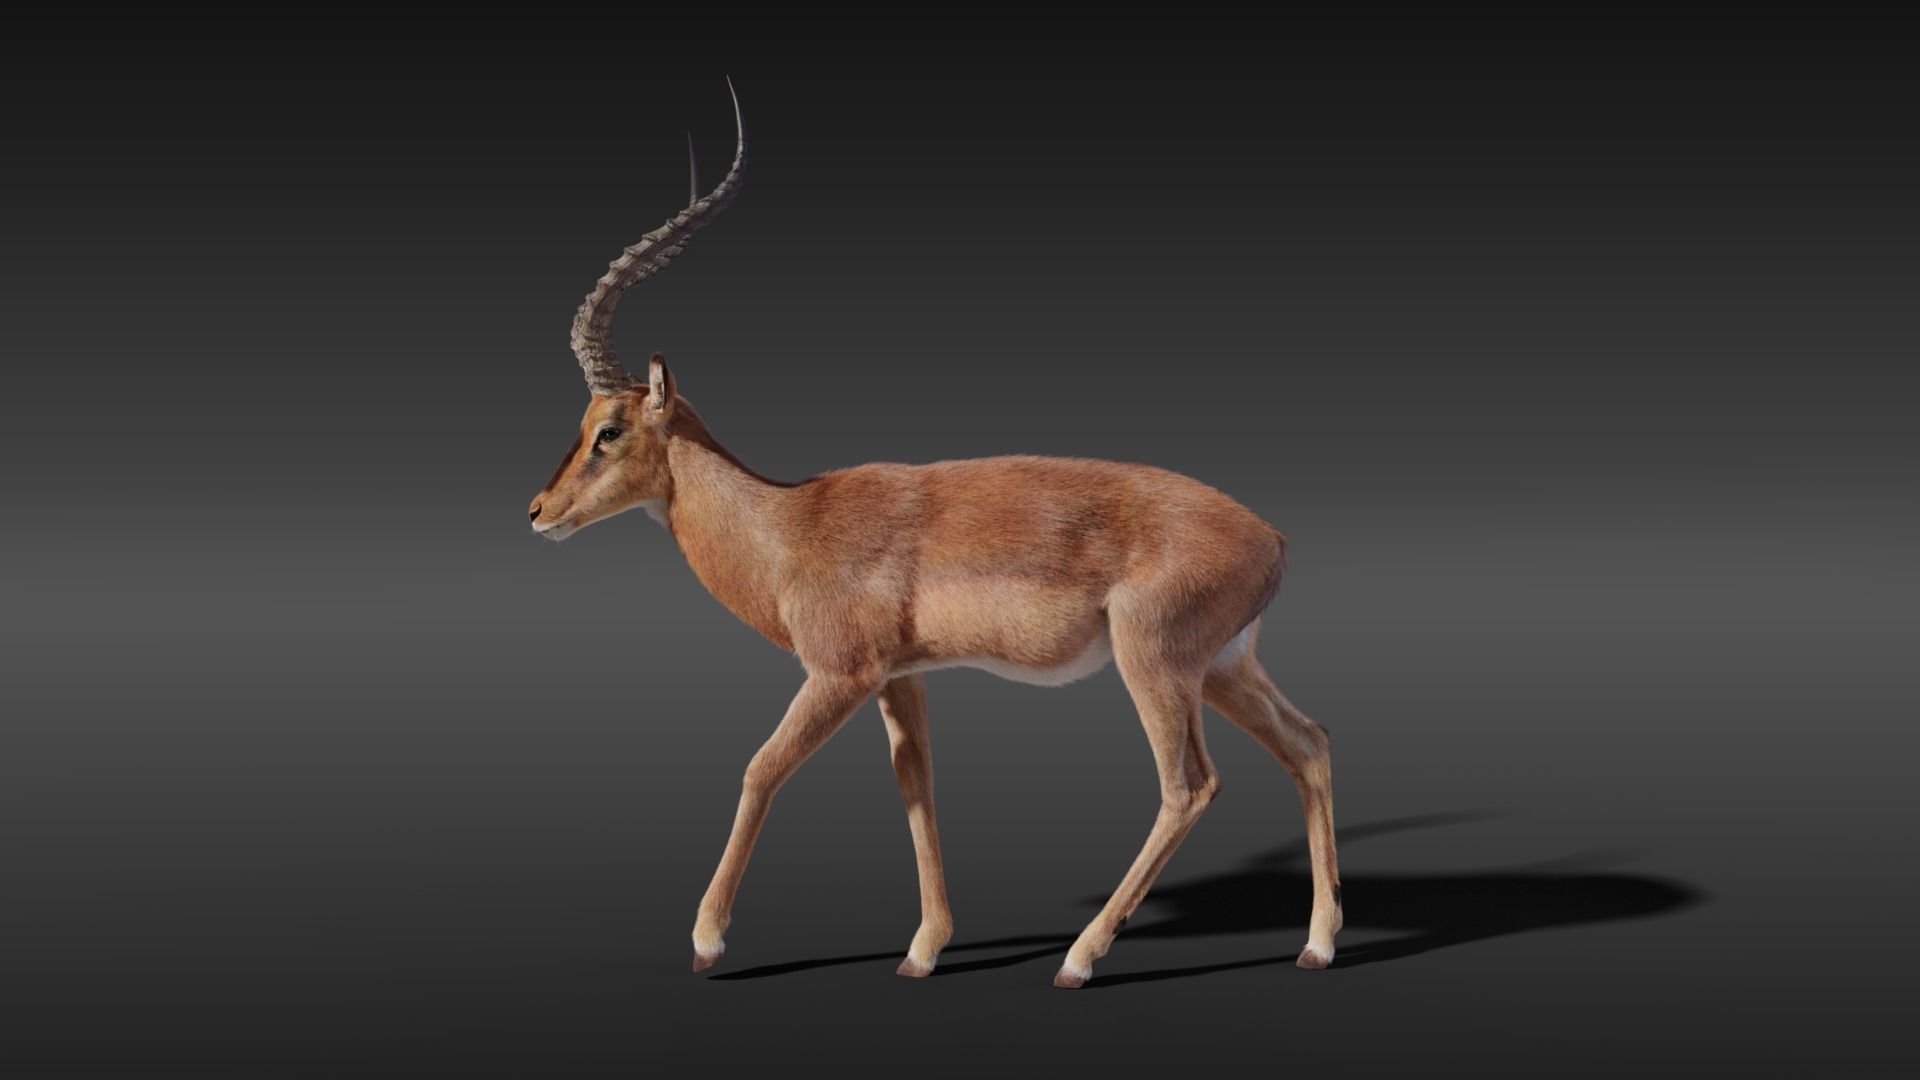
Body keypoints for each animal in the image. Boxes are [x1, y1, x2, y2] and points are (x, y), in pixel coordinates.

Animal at [527, 80, 1344, 986]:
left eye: (608, 429)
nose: (539, 511)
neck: (788, 528)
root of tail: (1272, 538)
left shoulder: (838, 673)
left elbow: (760, 767)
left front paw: (707, 941)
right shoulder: (900, 679)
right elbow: (916, 790)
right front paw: (924, 948)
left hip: (1155, 665)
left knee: (1189, 786)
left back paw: (1079, 958)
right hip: (1225, 667)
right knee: (1309, 744)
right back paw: (1317, 943)